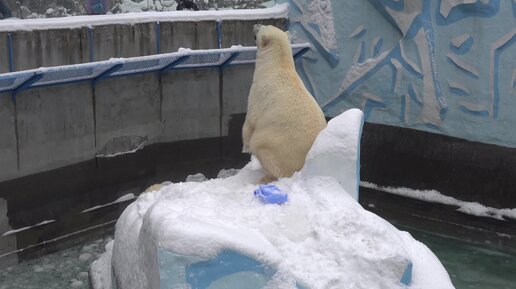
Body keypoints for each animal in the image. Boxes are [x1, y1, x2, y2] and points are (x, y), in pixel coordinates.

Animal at [243, 24, 326, 182]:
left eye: (263, 27)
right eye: (266, 24)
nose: (255, 25)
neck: (277, 66)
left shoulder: (259, 92)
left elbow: (251, 120)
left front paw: (245, 147)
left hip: (274, 146)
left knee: (264, 151)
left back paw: (265, 178)